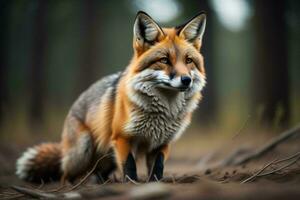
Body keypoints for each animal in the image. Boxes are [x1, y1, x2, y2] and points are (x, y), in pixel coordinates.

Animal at [15, 10, 206, 183]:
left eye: (188, 61)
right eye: (164, 60)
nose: (186, 80)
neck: (163, 113)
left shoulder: (162, 143)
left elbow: (158, 169)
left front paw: (154, 184)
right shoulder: (122, 138)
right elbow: (129, 166)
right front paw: (132, 185)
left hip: (107, 158)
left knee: (97, 173)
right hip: (83, 150)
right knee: (65, 174)